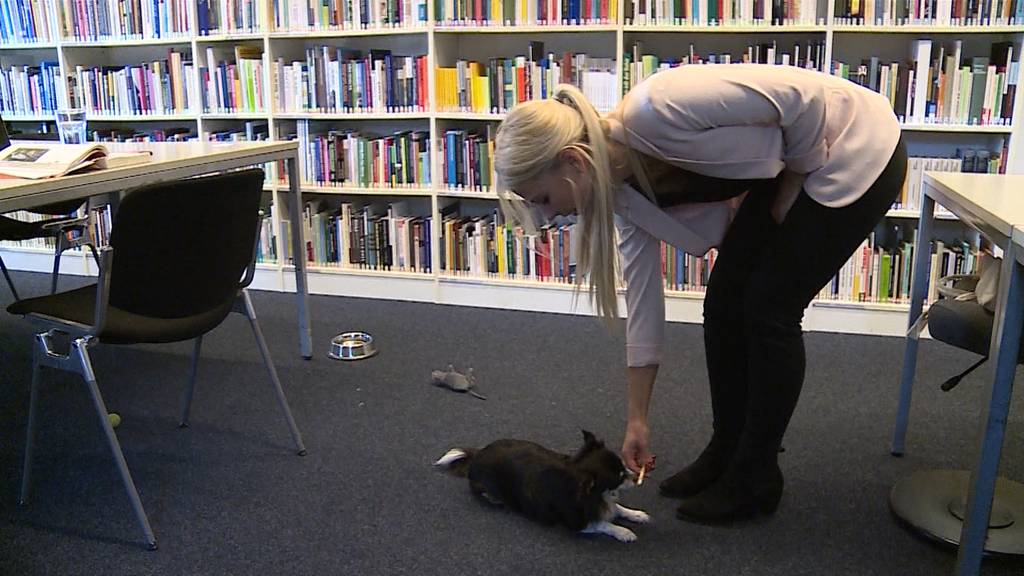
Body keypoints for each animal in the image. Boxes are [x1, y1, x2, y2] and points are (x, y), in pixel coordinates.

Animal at [432, 428, 647, 541]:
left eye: (623, 466)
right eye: (620, 476)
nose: (634, 474)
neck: (596, 495)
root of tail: (478, 454)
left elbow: (617, 508)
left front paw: (636, 514)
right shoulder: (576, 523)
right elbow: (604, 524)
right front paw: (624, 532)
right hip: (489, 493)